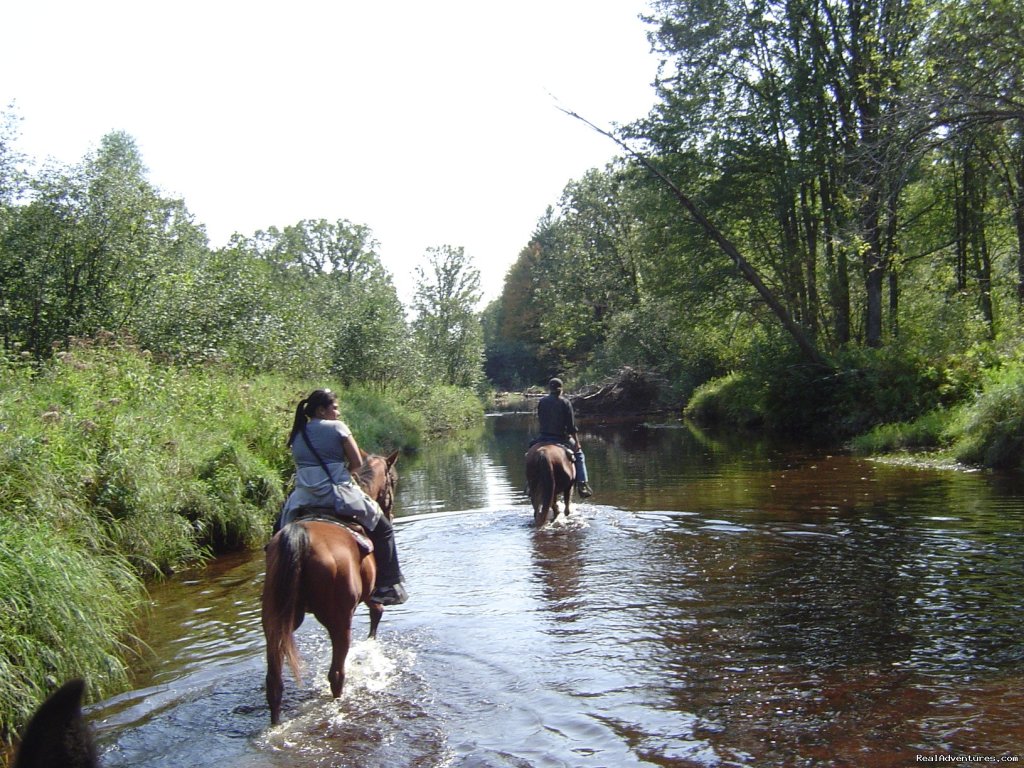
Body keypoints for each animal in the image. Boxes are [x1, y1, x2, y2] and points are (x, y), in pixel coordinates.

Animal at [262, 448, 397, 724]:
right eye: (394, 481)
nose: (391, 511)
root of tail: (300, 537)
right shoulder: (370, 592)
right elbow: (377, 612)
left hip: (276, 619)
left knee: (274, 683)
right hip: (339, 620)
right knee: (336, 674)